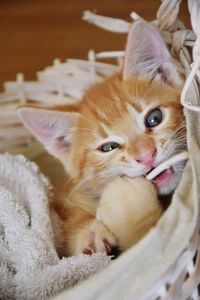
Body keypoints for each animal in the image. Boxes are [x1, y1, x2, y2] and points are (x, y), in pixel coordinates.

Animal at [17, 20, 186, 255]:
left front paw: (128, 201)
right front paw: (87, 232)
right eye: (108, 147)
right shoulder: (66, 194)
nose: (147, 156)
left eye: (154, 118)